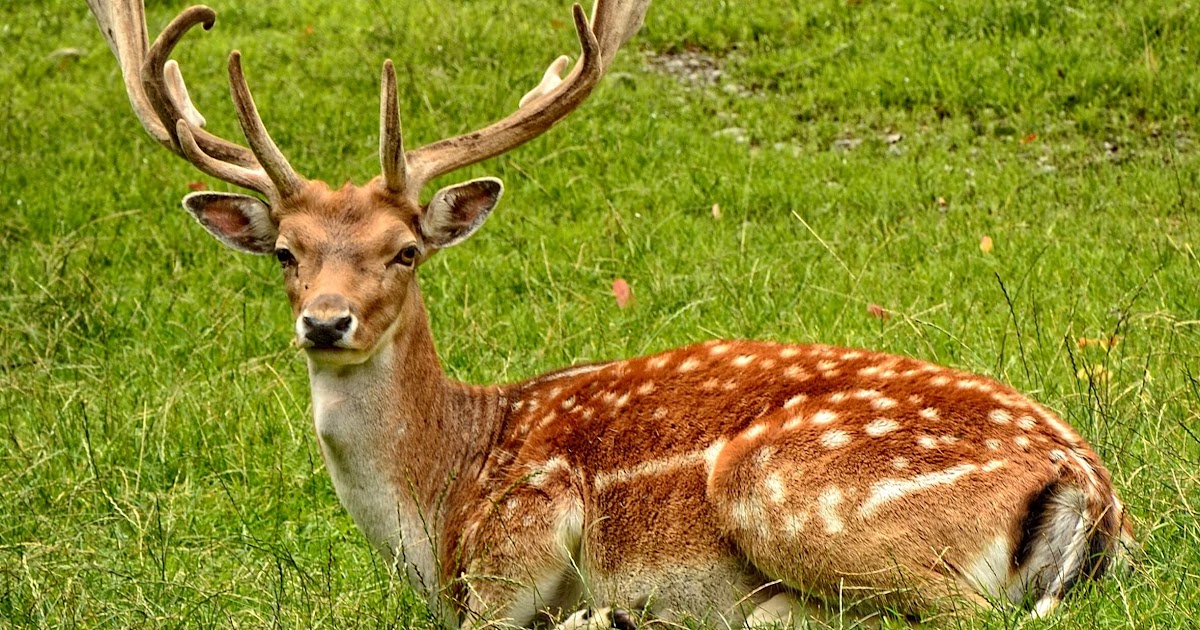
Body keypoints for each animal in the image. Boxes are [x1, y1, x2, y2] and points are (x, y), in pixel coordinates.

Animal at [87, 0, 1132, 624]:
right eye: (286, 255)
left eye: (405, 251)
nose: (327, 322)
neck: (439, 495)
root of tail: (1091, 488)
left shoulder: (518, 534)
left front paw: (597, 607)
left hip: (791, 494)